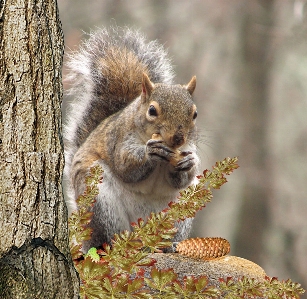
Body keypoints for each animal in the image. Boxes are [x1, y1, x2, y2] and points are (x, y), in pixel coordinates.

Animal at [63, 27, 201, 253]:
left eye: (195, 114)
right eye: (152, 111)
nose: (178, 138)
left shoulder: (189, 146)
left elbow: (182, 178)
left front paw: (189, 162)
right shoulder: (118, 139)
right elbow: (125, 166)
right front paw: (150, 153)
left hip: (181, 209)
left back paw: (169, 246)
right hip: (99, 202)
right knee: (105, 238)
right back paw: (115, 244)